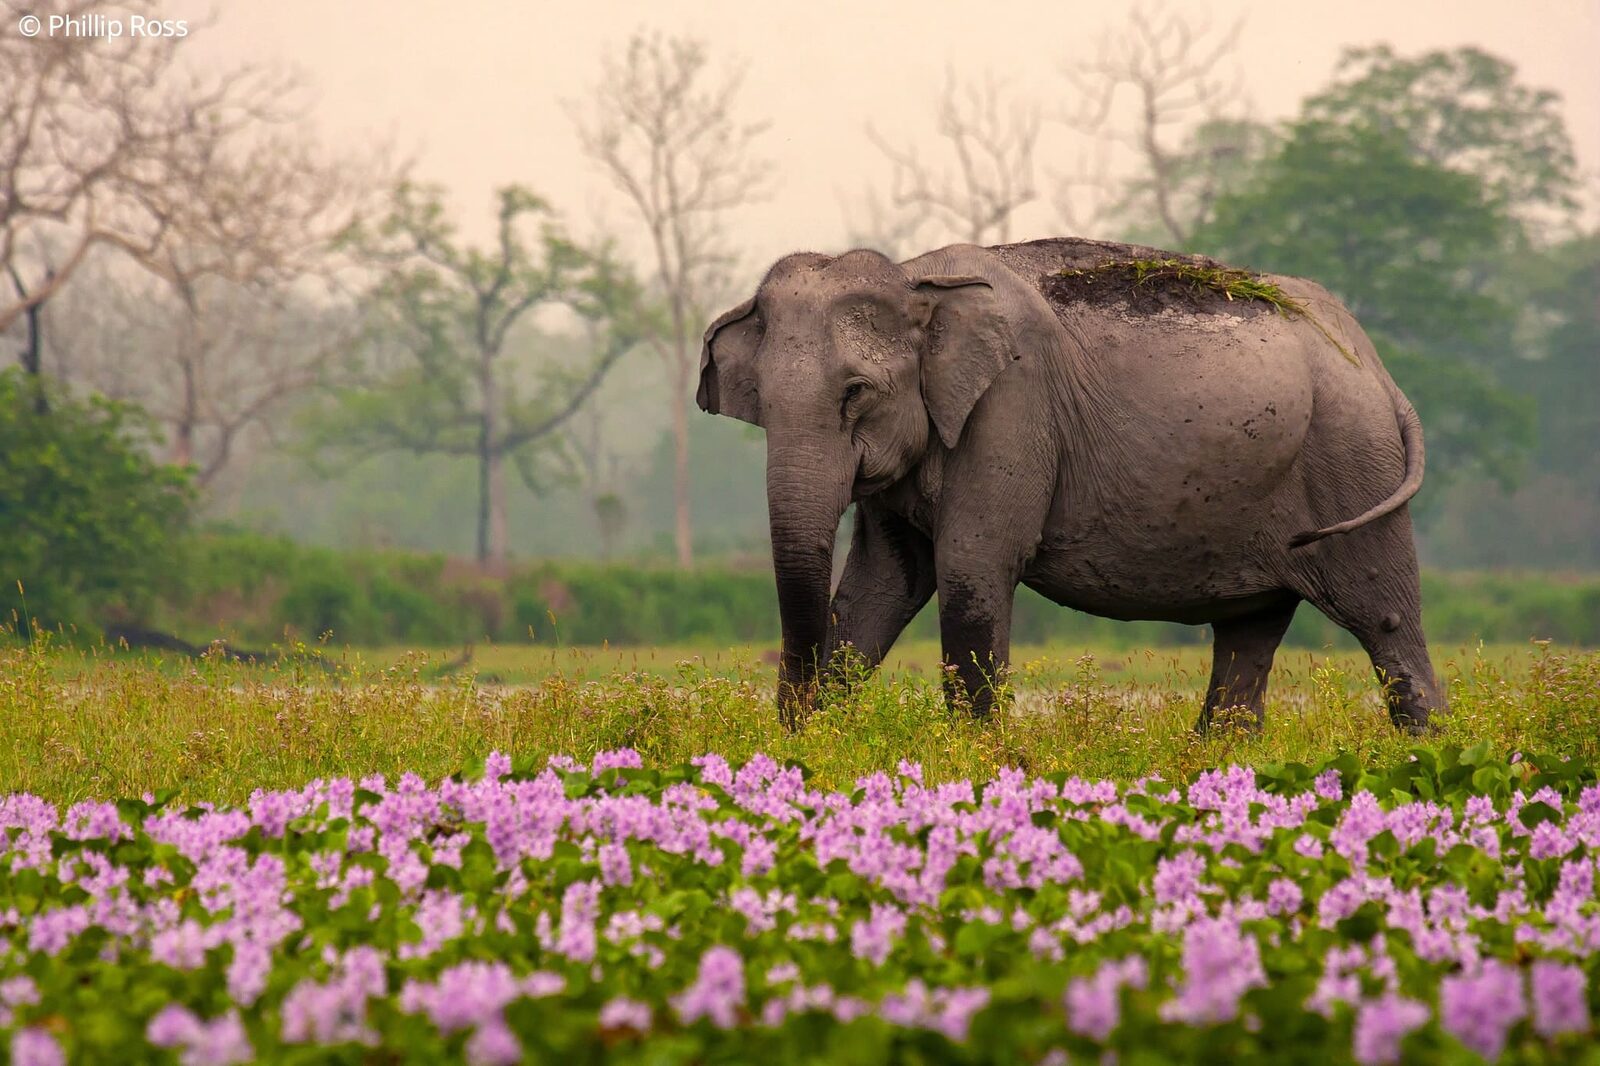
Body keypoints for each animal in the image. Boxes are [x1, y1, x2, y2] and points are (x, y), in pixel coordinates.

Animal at [696, 237, 1444, 734]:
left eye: (856, 393)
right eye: (761, 401)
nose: (792, 724)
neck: (917, 280)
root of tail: (1375, 365)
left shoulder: (1011, 410)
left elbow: (971, 570)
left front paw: (978, 757)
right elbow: (882, 586)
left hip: (1352, 462)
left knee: (1385, 619)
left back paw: (1424, 752)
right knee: (1249, 633)